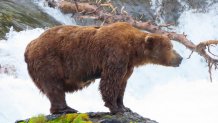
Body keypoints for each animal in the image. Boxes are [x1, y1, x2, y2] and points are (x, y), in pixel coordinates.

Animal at [24, 21, 183, 114]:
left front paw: (124, 106)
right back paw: (66, 109)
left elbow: (122, 84)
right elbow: (110, 82)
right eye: (170, 47)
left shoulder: (128, 64)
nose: (180, 58)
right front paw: (114, 108)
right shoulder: (115, 54)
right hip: (50, 60)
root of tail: (30, 45)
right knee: (54, 86)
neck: (133, 50)